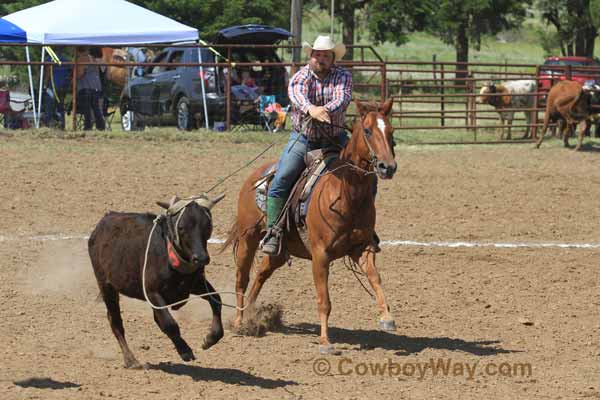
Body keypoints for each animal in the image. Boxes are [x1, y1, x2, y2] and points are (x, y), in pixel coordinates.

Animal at [225, 97, 398, 354]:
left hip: (279, 251)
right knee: (242, 279)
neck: (345, 193)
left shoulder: (362, 247)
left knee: (260, 275)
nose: (388, 167)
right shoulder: (320, 255)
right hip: (249, 238)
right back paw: (238, 322)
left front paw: (387, 317)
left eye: (391, 131)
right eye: (367, 130)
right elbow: (324, 300)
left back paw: (251, 317)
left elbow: (375, 278)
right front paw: (325, 342)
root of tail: (256, 176)